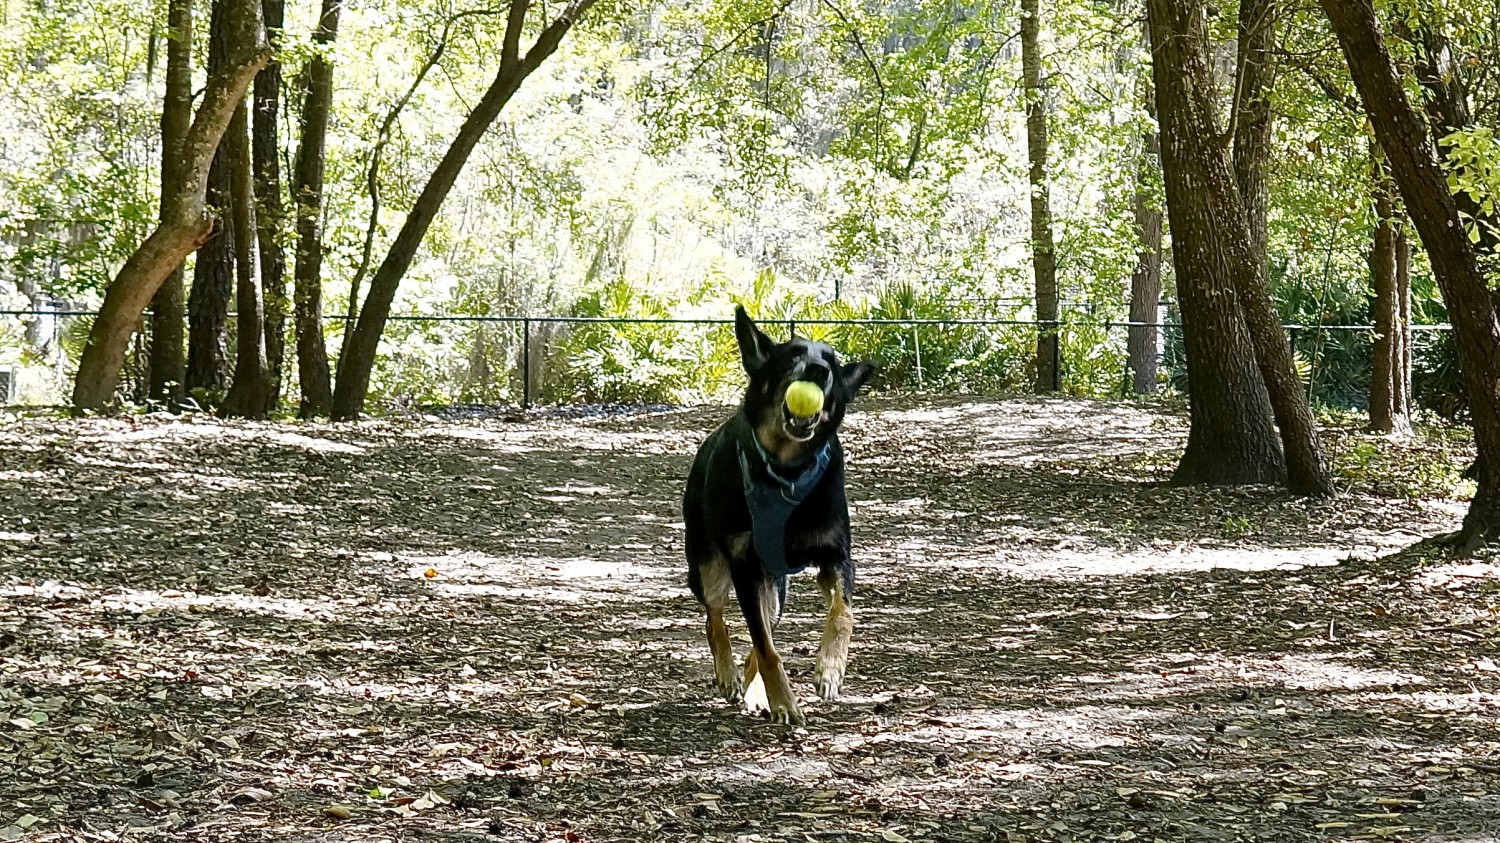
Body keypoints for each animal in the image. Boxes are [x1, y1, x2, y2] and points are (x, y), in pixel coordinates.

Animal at [684, 304, 876, 720]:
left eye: (832, 361)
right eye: (793, 354)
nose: (818, 371)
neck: (786, 471)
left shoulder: (836, 558)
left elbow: (843, 613)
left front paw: (830, 668)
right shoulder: (744, 566)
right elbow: (764, 646)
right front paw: (785, 701)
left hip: (774, 588)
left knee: (761, 626)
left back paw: (754, 690)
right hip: (708, 563)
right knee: (715, 616)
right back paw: (728, 672)